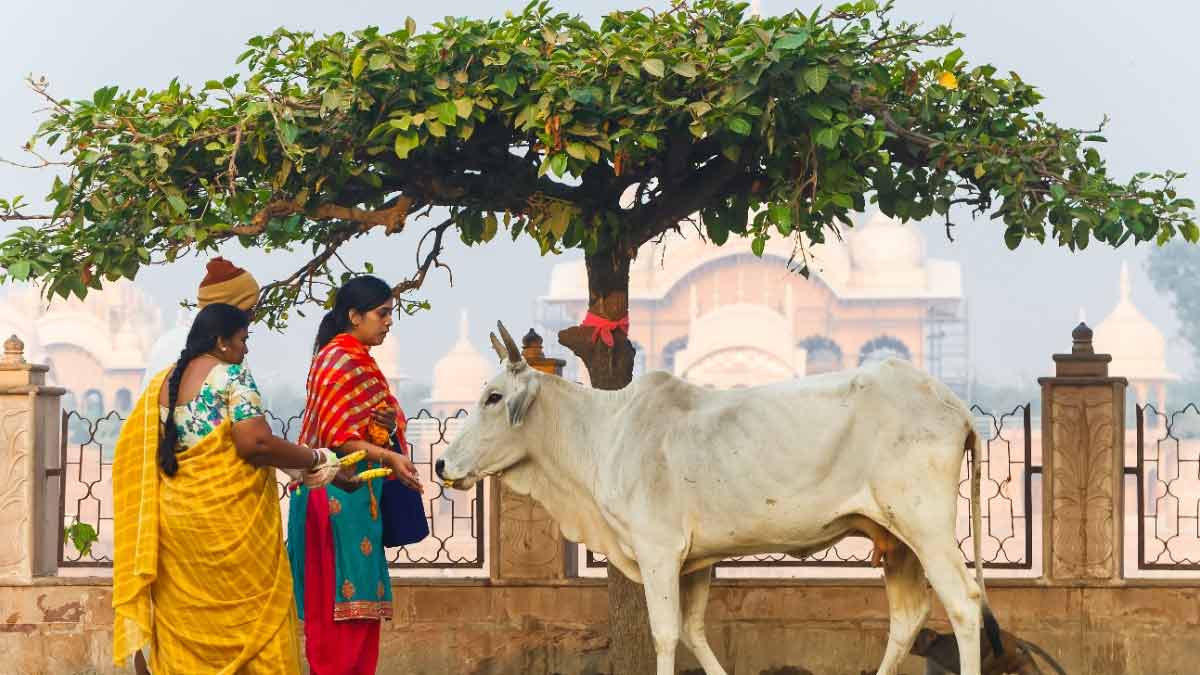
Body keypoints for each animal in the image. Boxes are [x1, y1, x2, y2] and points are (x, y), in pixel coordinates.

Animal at [436, 323, 1003, 675]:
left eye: (493, 397)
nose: (442, 466)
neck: (605, 431)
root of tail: (951, 402)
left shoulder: (659, 552)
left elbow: (667, 634)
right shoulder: (697, 562)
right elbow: (693, 631)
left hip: (926, 527)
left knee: (963, 604)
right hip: (897, 540)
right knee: (908, 618)